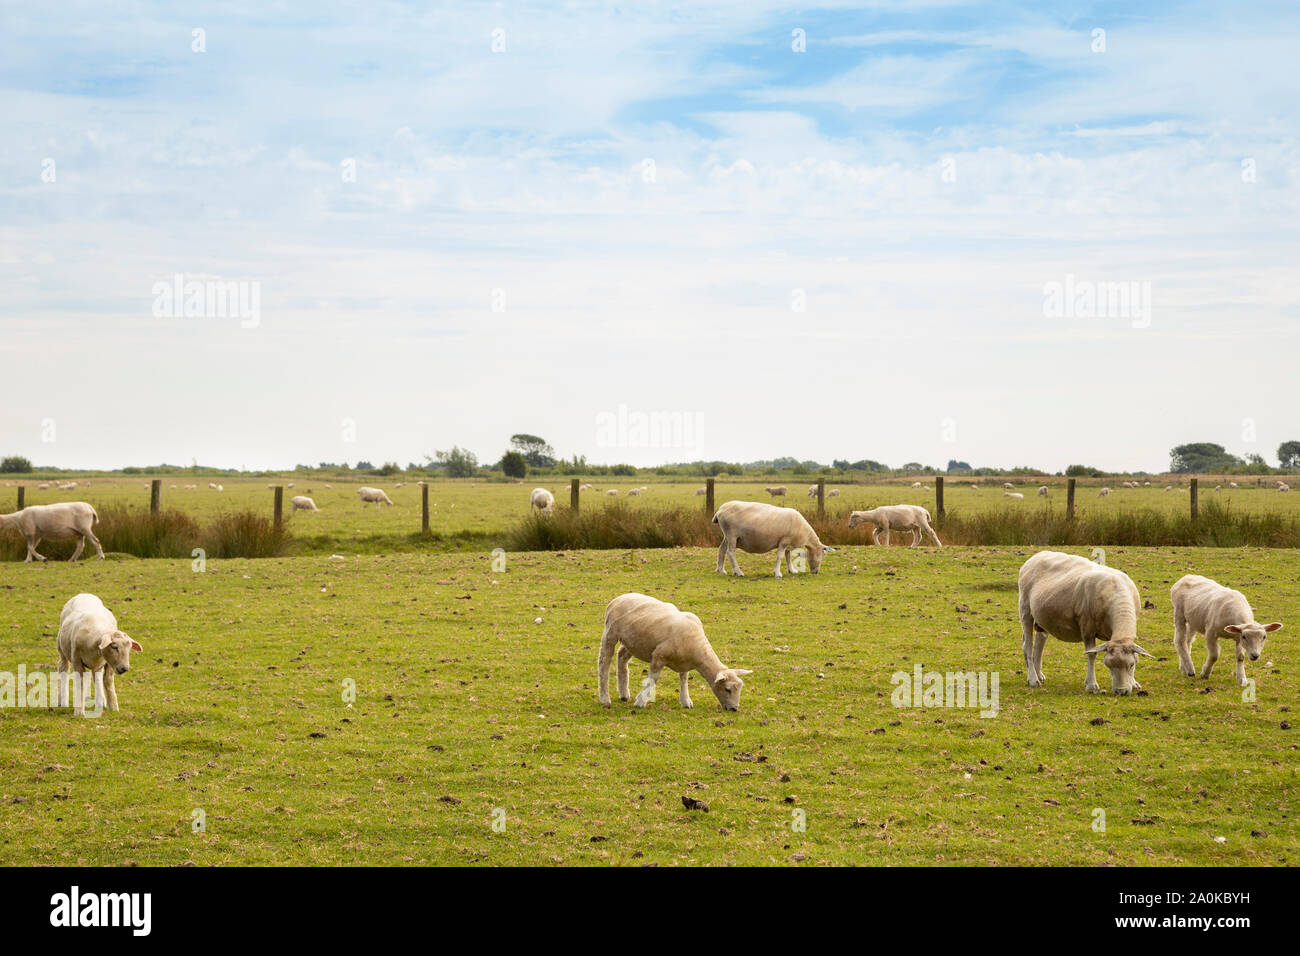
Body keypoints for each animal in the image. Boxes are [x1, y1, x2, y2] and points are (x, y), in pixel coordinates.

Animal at [597, 592, 752, 711]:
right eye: (727, 689)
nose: (734, 709)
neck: (698, 648)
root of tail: (620, 597)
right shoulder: (658, 656)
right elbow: (653, 679)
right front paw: (641, 701)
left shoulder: (684, 663)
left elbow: (684, 679)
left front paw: (686, 701)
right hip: (610, 633)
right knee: (604, 662)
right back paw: (605, 698)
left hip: (633, 642)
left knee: (622, 657)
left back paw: (624, 693)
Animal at [1017, 550, 1153, 695]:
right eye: (1108, 665)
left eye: (1131, 665)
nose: (1121, 692)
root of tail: (1037, 555)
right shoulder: (1087, 627)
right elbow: (1091, 654)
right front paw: (1092, 684)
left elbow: (1136, 655)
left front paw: (1133, 683)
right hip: (1025, 609)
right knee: (1027, 645)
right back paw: (1033, 679)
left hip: (1042, 618)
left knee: (1040, 643)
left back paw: (1039, 674)